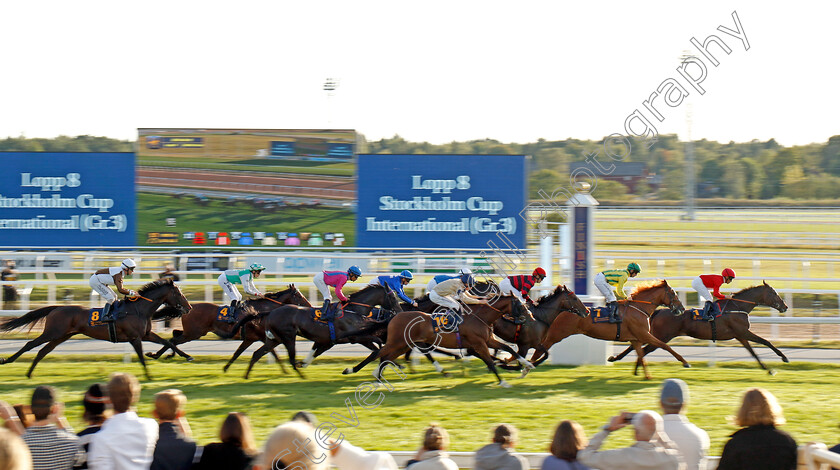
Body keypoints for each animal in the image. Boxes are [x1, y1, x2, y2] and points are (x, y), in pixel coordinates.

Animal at [0, 278, 192, 380]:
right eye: (179, 294)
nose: (189, 307)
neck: (139, 310)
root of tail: (57, 307)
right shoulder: (135, 338)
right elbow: (141, 358)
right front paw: (149, 376)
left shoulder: (146, 334)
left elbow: (168, 342)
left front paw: (186, 356)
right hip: (53, 332)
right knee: (31, 345)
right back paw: (7, 361)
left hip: (61, 336)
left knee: (42, 351)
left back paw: (29, 374)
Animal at [364, 296, 536, 388]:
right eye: (520, 304)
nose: (531, 316)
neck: (480, 317)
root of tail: (395, 315)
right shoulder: (479, 344)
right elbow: (490, 362)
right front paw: (503, 382)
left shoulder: (488, 341)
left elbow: (509, 348)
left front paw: (527, 364)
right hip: (397, 342)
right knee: (378, 354)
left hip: (404, 344)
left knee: (385, 358)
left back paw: (377, 379)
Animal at [532, 280, 688, 380]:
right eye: (673, 293)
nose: (682, 308)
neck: (639, 308)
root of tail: (561, 310)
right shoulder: (644, 334)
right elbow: (665, 345)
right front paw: (684, 362)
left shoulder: (636, 339)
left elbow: (641, 355)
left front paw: (646, 375)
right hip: (555, 335)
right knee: (539, 350)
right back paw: (530, 365)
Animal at [608, 280, 792, 376]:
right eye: (774, 293)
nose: (785, 306)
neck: (738, 307)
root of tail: (658, 311)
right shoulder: (743, 331)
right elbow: (765, 341)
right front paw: (783, 358)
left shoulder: (740, 335)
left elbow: (753, 352)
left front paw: (767, 369)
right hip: (662, 336)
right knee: (644, 349)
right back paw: (633, 367)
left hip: (655, 335)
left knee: (639, 348)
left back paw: (627, 365)